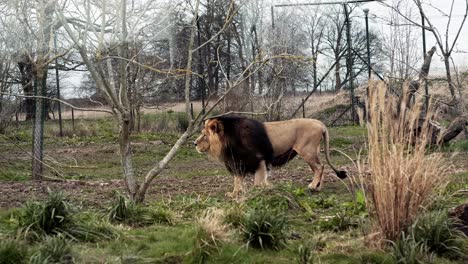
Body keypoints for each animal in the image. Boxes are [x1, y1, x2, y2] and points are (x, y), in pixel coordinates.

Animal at [195, 115, 348, 198]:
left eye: (204, 135)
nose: (194, 143)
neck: (227, 140)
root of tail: (320, 123)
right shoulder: (239, 163)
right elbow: (237, 181)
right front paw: (234, 194)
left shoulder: (258, 159)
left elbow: (257, 181)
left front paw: (264, 188)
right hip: (312, 152)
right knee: (321, 167)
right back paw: (318, 187)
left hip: (307, 151)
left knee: (319, 167)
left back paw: (312, 186)